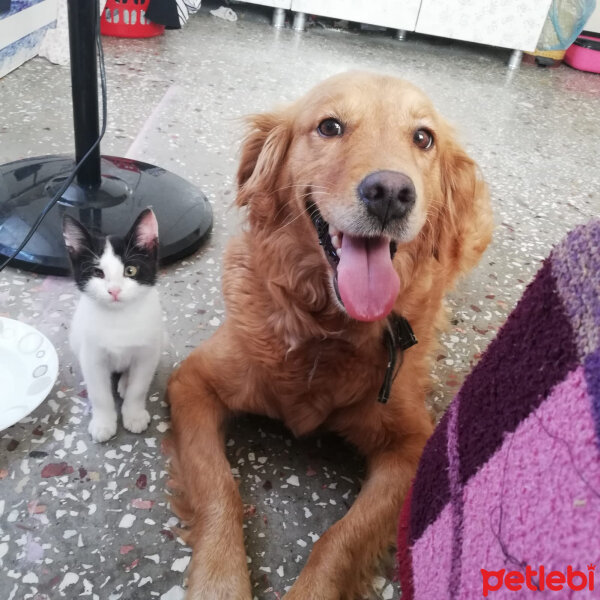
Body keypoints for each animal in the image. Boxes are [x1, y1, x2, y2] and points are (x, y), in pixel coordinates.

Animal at [62, 210, 164, 440]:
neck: (119, 318)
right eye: (97, 273)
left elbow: (139, 387)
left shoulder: (147, 353)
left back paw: (124, 381)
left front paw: (134, 415)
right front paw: (103, 422)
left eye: (130, 270)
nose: (114, 290)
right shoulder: (92, 356)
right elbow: (99, 393)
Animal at [165, 71, 492, 600]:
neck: (324, 328)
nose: (390, 192)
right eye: (330, 126)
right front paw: (220, 580)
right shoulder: (192, 383)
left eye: (423, 138)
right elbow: (220, 488)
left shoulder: (411, 447)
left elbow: (340, 538)